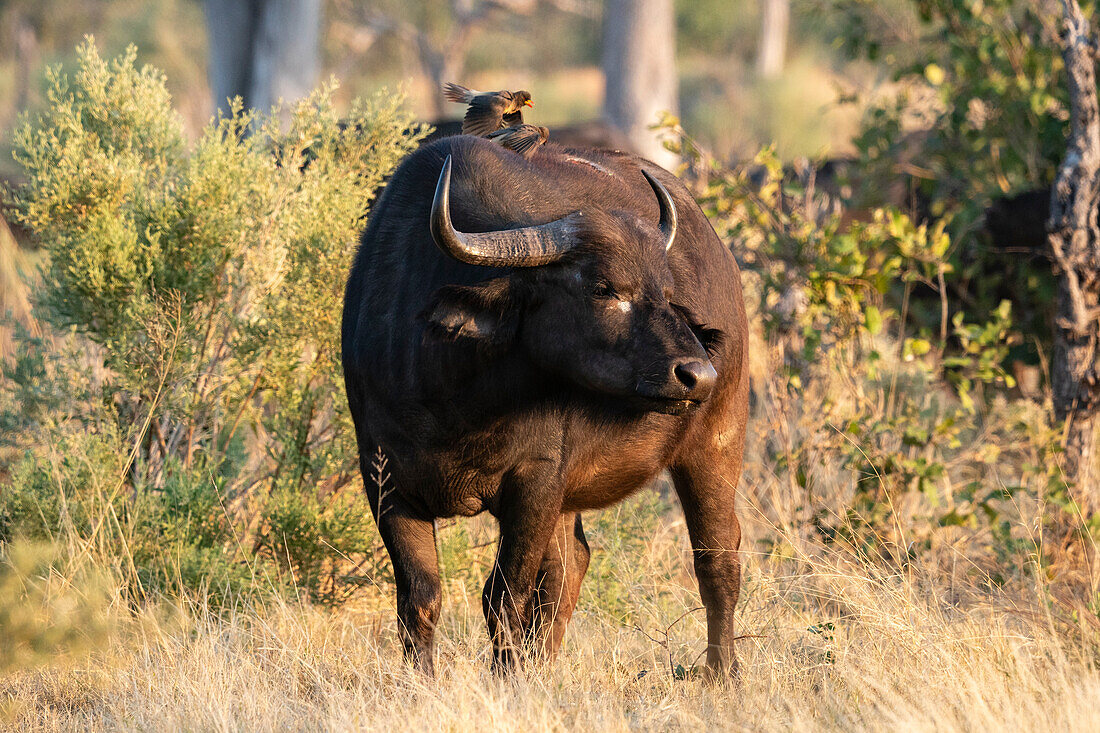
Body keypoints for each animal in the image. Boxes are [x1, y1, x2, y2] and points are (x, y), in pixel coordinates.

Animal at [341, 135, 748, 673]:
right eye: (603, 287)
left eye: (665, 291)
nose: (698, 374)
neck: (456, 397)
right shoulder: (385, 480)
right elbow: (420, 598)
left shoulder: (536, 480)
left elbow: (504, 597)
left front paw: (506, 675)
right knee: (569, 567)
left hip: (716, 442)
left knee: (716, 560)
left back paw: (721, 675)